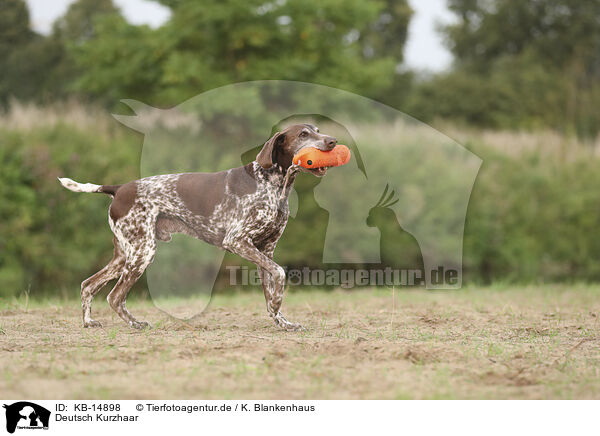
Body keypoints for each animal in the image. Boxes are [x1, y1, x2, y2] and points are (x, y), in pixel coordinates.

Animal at [58, 124, 336, 332]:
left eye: (318, 130)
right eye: (303, 134)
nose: (333, 141)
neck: (272, 184)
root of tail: (118, 189)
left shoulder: (266, 250)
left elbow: (270, 293)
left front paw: (283, 321)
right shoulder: (237, 241)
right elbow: (279, 273)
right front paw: (279, 304)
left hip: (125, 254)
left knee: (88, 284)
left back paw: (88, 322)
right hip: (142, 253)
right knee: (115, 296)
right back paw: (135, 324)